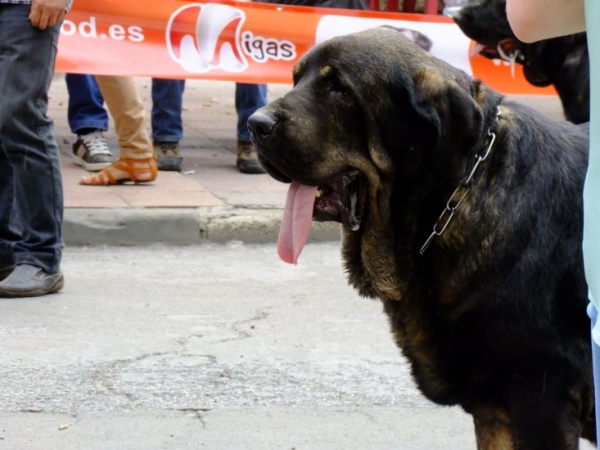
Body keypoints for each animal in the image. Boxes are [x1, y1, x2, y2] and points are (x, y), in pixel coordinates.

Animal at [248, 28, 596, 450]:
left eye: (340, 90)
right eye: (297, 78)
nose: (254, 124)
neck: (450, 198)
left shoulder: (543, 399)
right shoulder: (494, 409)